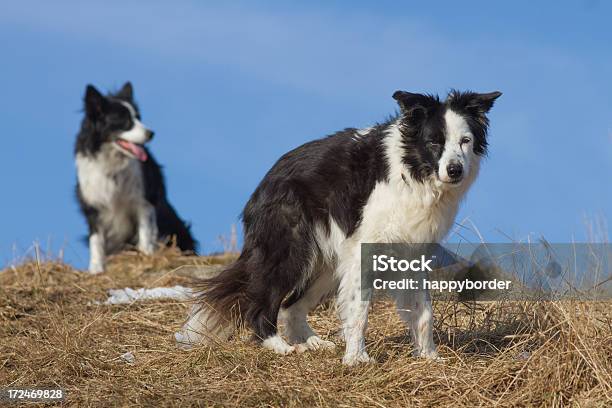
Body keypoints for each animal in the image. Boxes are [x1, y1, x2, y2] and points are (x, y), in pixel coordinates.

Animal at [74, 83, 196, 274]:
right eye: (125, 121)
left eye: (139, 118)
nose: (151, 133)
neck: (113, 165)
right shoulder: (93, 203)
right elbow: (96, 239)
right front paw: (95, 269)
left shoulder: (143, 200)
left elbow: (145, 232)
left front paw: (146, 258)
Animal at [175, 89, 500, 364]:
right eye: (434, 141)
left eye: (465, 141)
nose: (455, 170)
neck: (412, 171)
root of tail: (266, 181)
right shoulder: (364, 251)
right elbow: (359, 309)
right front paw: (357, 360)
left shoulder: (412, 252)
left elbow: (423, 311)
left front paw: (430, 358)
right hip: (292, 250)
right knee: (264, 300)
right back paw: (279, 345)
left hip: (325, 263)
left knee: (291, 306)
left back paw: (313, 343)